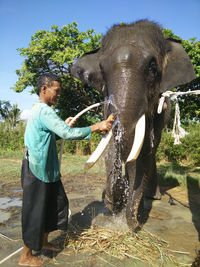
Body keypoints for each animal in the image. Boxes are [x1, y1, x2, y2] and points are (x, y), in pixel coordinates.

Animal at [70, 19, 195, 231]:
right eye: (102, 70)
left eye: (153, 68)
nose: (135, 225)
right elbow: (112, 144)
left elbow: (144, 147)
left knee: (152, 149)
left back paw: (153, 196)